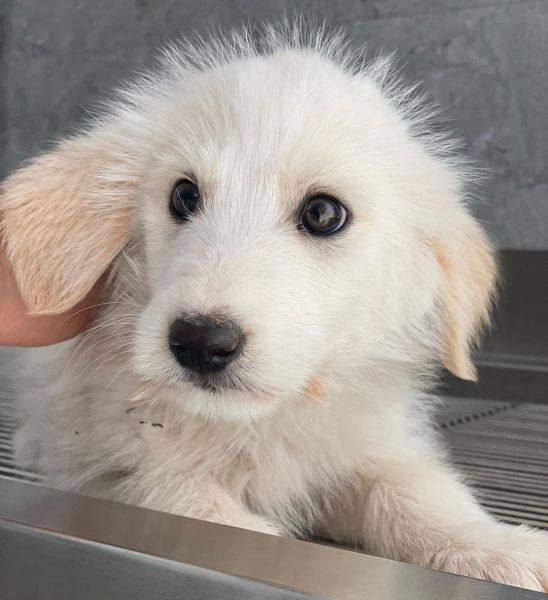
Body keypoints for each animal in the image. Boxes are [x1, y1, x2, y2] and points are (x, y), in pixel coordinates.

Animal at [2, 23, 547, 591]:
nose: (201, 341)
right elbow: (184, 498)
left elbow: (417, 490)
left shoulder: (364, 446)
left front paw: (497, 548)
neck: (253, 425)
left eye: (323, 213)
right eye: (183, 195)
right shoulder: (110, 467)